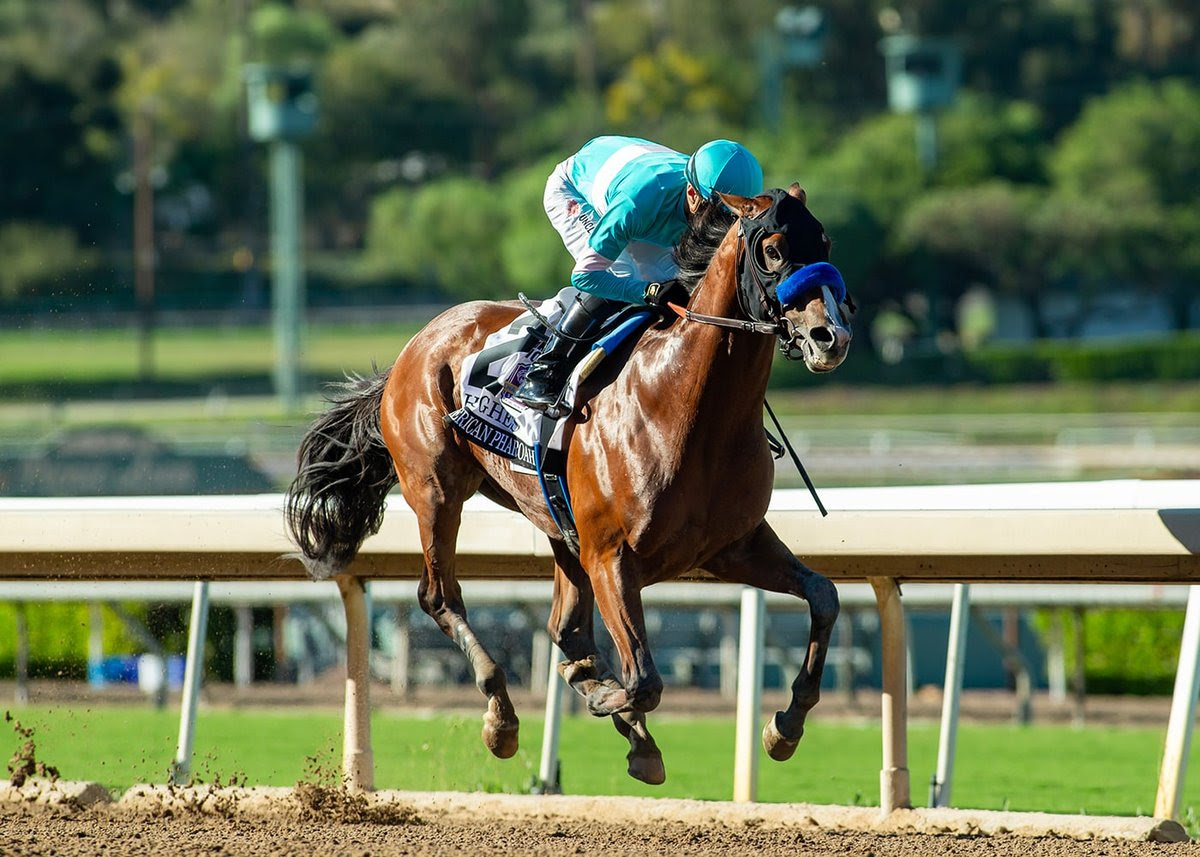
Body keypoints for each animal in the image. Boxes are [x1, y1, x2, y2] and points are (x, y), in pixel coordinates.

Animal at [285, 183, 854, 785]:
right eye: (771, 249)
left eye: (824, 243)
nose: (831, 336)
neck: (686, 407)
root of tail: (415, 345)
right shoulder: (612, 556)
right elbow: (644, 679)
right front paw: (605, 696)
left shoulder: (732, 546)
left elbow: (824, 595)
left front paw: (785, 726)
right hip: (436, 491)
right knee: (440, 596)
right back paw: (504, 718)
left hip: (556, 521)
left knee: (567, 628)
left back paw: (619, 718)